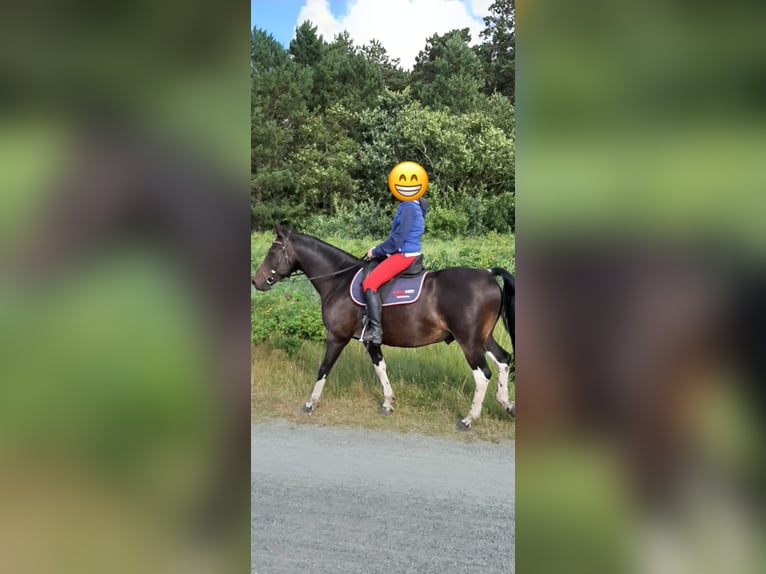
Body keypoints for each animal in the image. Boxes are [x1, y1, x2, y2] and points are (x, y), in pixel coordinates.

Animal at [252, 224, 515, 430]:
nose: (256, 281)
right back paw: (507, 404)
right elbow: (380, 368)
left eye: (273, 251)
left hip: (469, 342)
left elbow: (324, 368)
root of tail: (488, 273)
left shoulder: (336, 337)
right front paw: (388, 403)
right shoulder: (371, 341)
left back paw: (469, 419)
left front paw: (310, 403)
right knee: (503, 360)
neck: (338, 281)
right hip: (483, 339)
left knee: (482, 374)